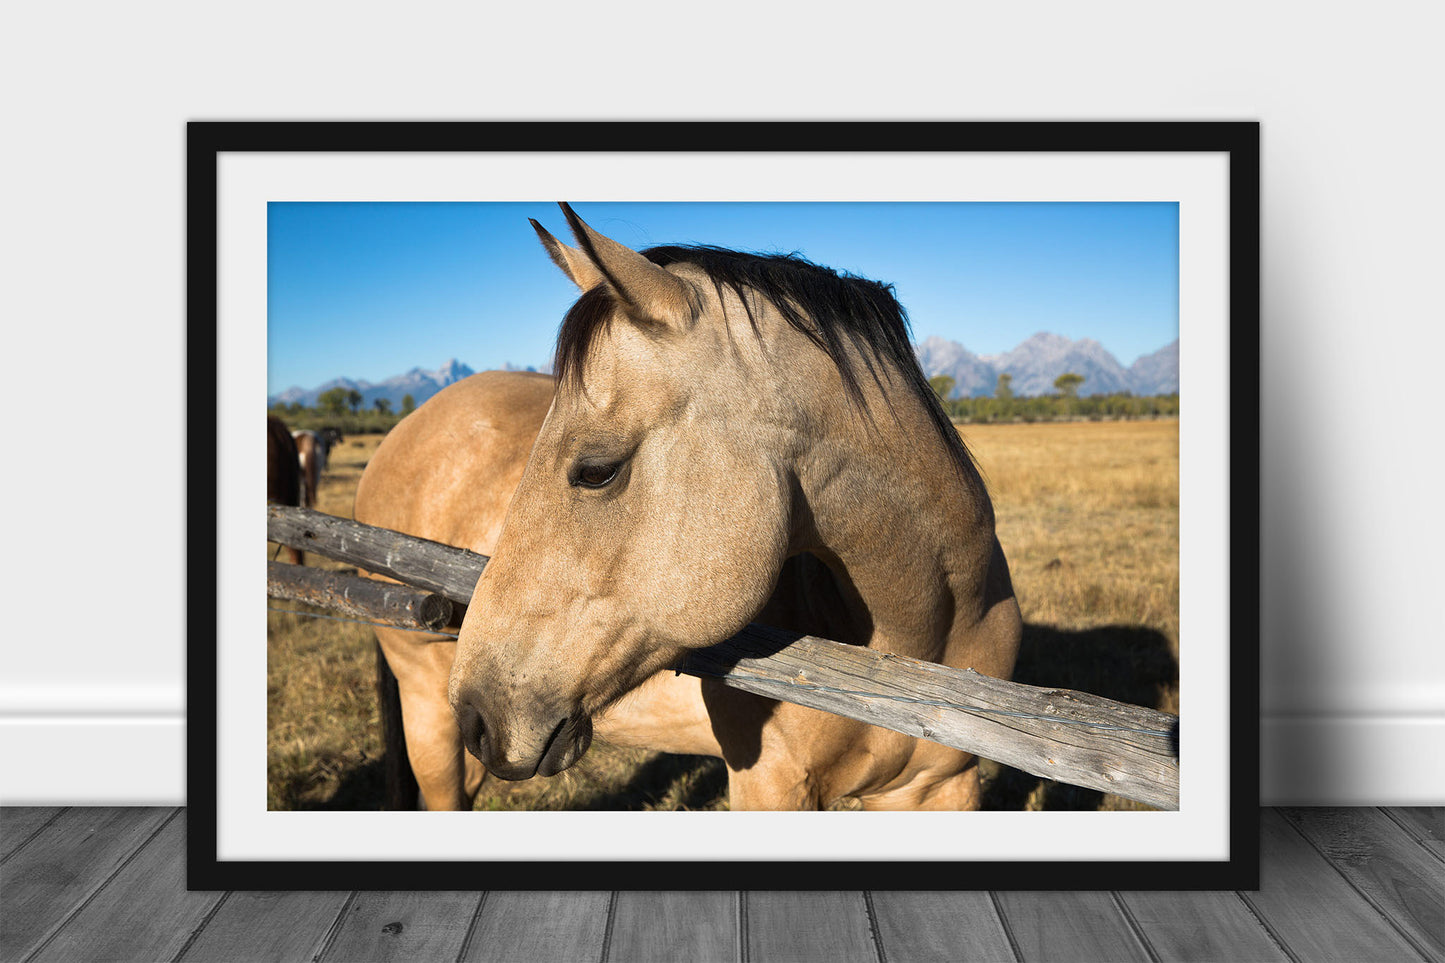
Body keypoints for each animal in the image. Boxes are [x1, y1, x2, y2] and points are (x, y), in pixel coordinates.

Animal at [352, 203, 1022, 811]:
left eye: (596, 471)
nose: (478, 712)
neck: (920, 641)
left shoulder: (938, 788)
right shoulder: (769, 785)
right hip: (426, 710)